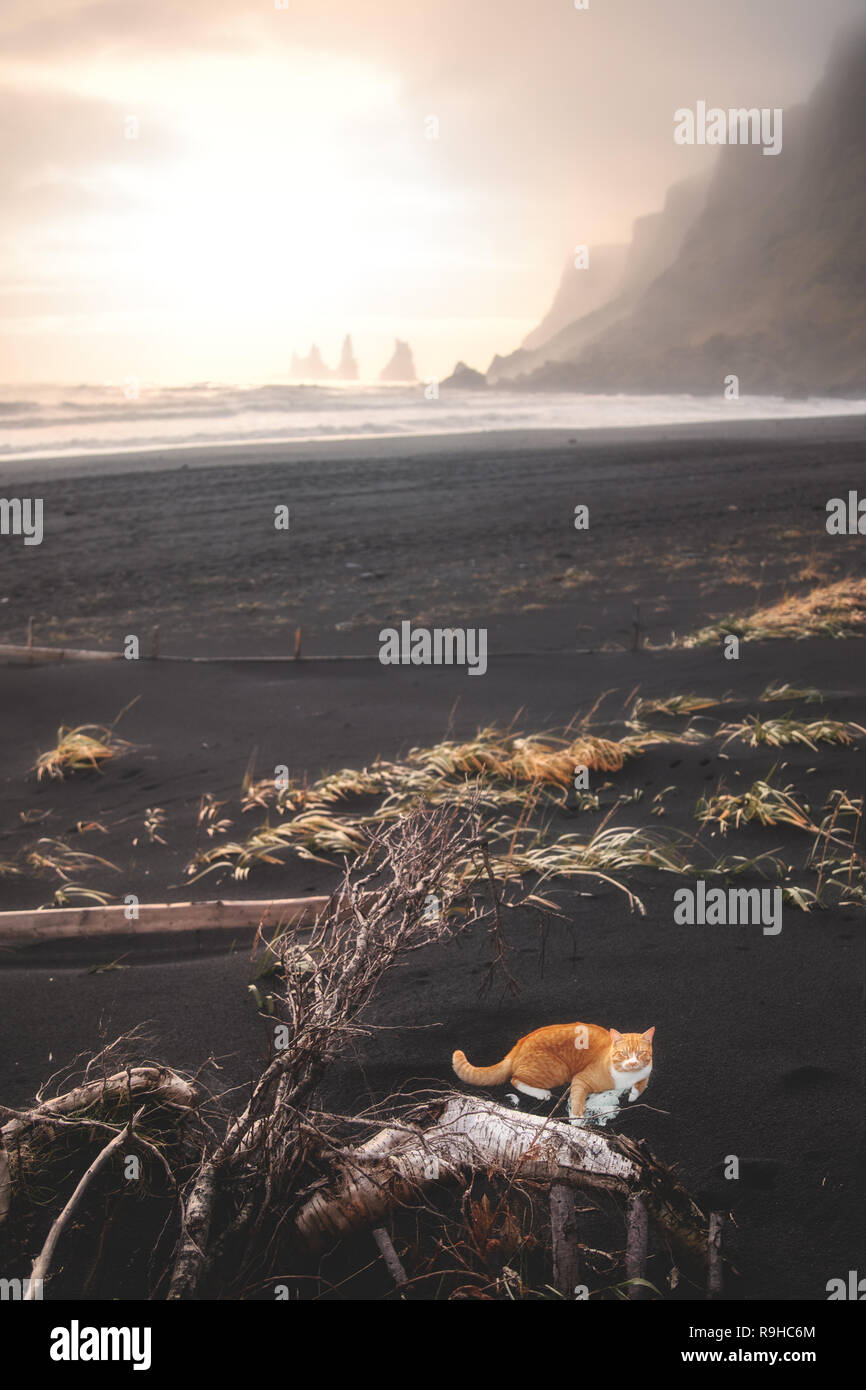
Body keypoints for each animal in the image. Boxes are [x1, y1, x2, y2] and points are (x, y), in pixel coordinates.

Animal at [458, 1028, 653, 1123]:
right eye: (623, 1053)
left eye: (641, 1053)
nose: (633, 1063)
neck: (627, 1077)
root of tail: (516, 1047)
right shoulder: (580, 1079)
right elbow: (577, 1098)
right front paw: (577, 1118)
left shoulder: (646, 1071)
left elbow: (642, 1084)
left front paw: (633, 1094)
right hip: (559, 1071)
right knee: (515, 1079)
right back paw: (541, 1093)